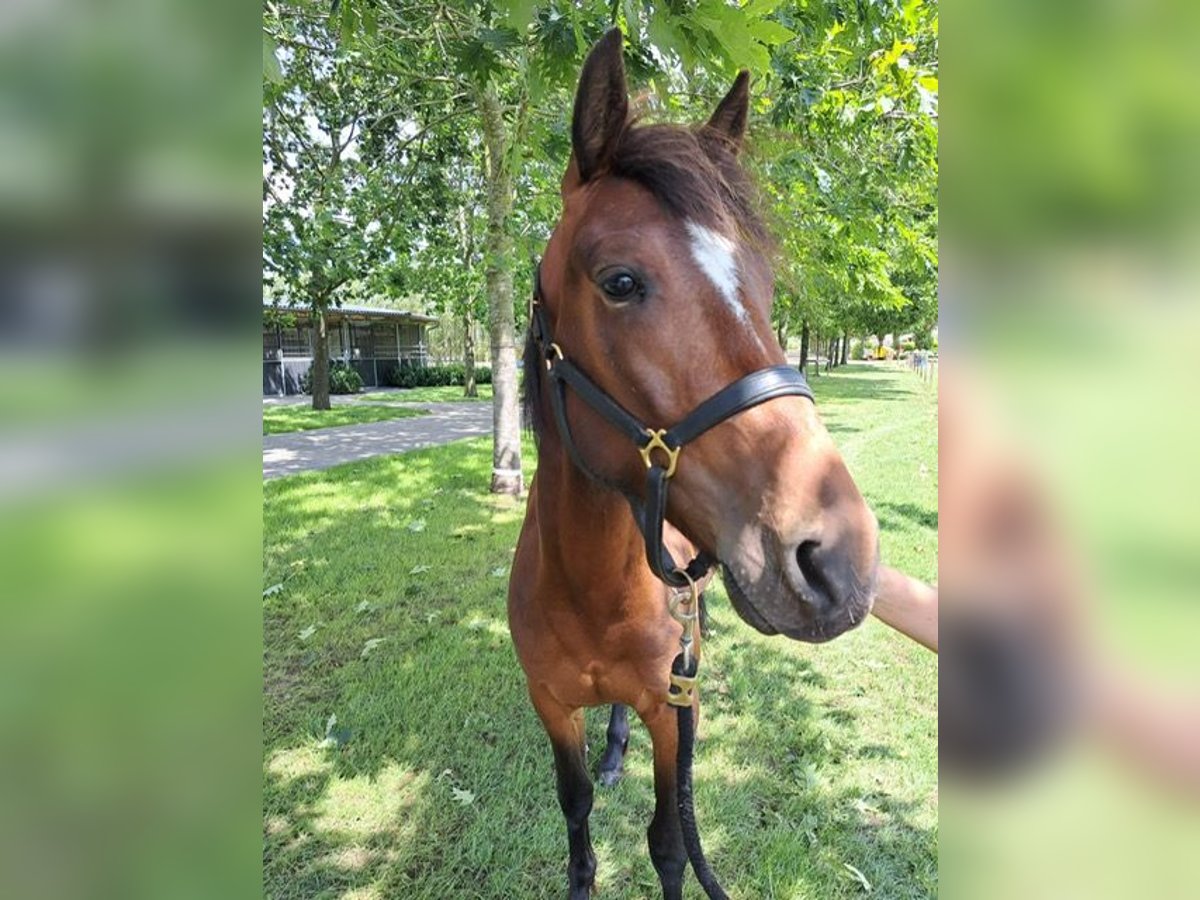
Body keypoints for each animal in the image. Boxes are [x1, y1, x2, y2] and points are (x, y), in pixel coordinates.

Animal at [506, 30, 883, 900]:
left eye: (766, 286)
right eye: (619, 281)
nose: (839, 559)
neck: (588, 587)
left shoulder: (679, 707)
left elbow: (670, 841)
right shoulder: (550, 706)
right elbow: (576, 814)